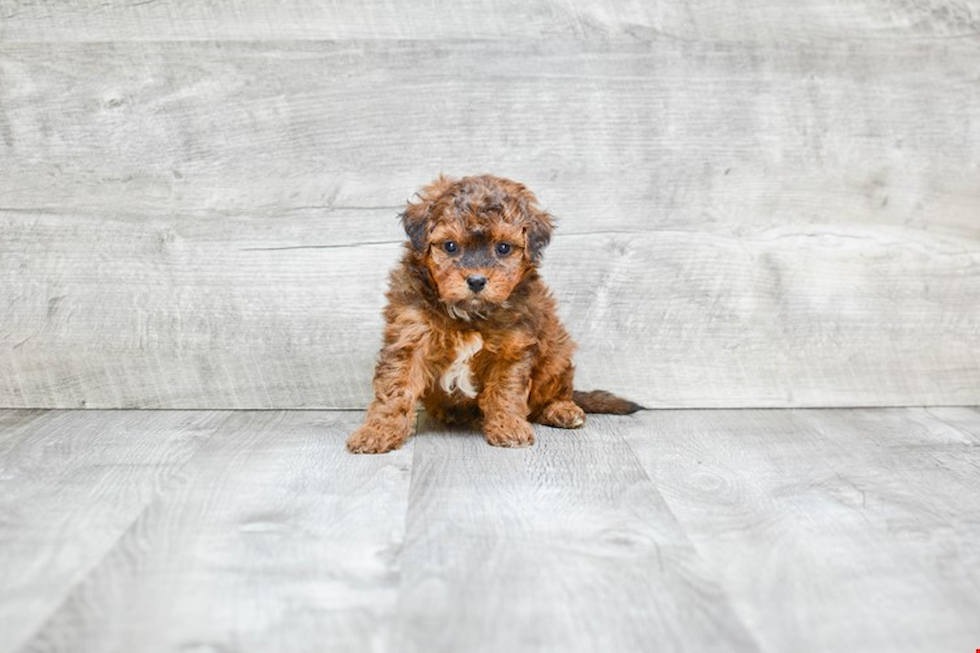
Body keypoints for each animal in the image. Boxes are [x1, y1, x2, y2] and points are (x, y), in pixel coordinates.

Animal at [346, 172, 644, 454]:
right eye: (450, 246)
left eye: (503, 248)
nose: (477, 281)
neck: (469, 314)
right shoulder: (410, 337)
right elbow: (395, 388)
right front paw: (378, 431)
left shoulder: (514, 345)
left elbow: (506, 390)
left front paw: (508, 426)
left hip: (556, 354)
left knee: (553, 392)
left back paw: (561, 409)